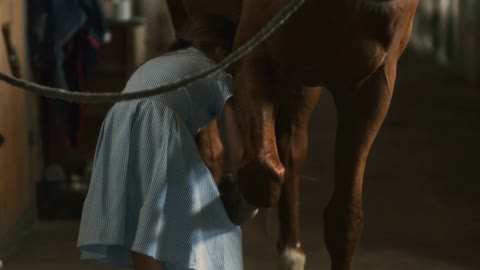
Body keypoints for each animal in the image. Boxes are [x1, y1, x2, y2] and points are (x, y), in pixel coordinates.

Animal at [167, 1, 418, 268]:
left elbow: (345, 220)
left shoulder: (372, 86)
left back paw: (291, 251)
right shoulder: (255, 52)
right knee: (214, 148)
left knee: (291, 148)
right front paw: (230, 201)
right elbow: (261, 173)